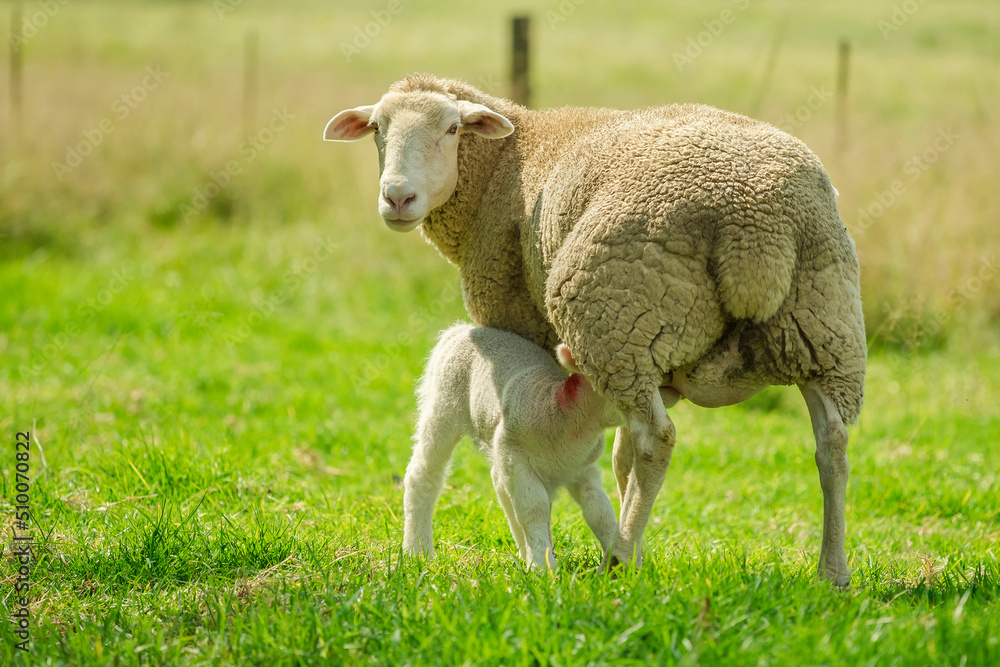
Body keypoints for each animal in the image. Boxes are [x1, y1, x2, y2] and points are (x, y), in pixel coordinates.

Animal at [402, 322, 621, 570]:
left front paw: (623, 561)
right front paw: (543, 568)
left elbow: (599, 511)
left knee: (500, 484)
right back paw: (417, 551)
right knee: (423, 475)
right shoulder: (515, 457)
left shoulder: (582, 469)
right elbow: (534, 508)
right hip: (444, 405)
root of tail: (460, 329)